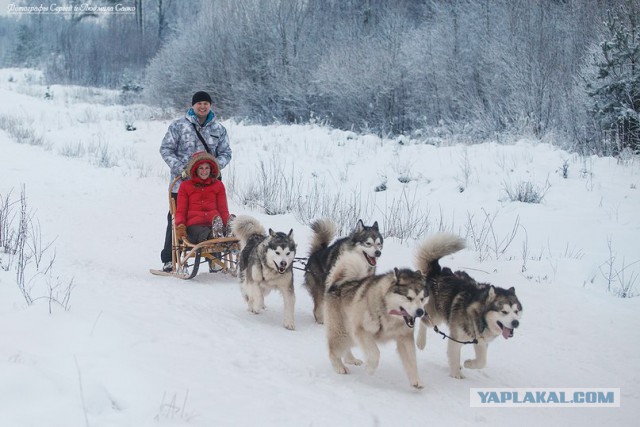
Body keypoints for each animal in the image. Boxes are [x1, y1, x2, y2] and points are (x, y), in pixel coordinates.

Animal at [322, 252, 428, 390]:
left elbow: (412, 360)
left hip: (350, 333)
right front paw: (370, 369)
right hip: (342, 332)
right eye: (409, 298)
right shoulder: (362, 331)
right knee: (333, 351)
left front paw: (416, 380)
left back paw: (351, 359)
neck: (387, 311)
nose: (420, 312)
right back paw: (339, 366)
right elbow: (375, 354)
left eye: (422, 298)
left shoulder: (405, 337)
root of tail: (338, 284)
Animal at [416, 236, 524, 380]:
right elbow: (454, 357)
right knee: (424, 320)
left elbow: (482, 362)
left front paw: (468, 363)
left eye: (516, 311)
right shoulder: (455, 338)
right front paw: (456, 375)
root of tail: (438, 272)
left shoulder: (481, 341)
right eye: (504, 312)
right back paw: (421, 342)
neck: (480, 317)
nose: (515, 323)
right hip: (436, 315)